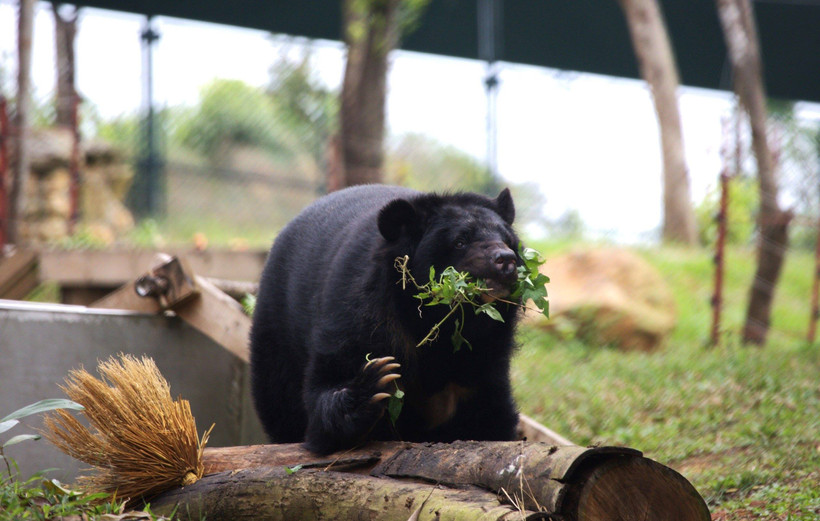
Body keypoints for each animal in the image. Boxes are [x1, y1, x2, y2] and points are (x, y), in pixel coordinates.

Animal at [250, 185, 524, 452]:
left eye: (508, 241)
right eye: (460, 241)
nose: (505, 260)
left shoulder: (485, 354)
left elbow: (489, 411)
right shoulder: (359, 312)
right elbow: (330, 381)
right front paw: (375, 382)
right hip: (277, 328)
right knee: (281, 400)